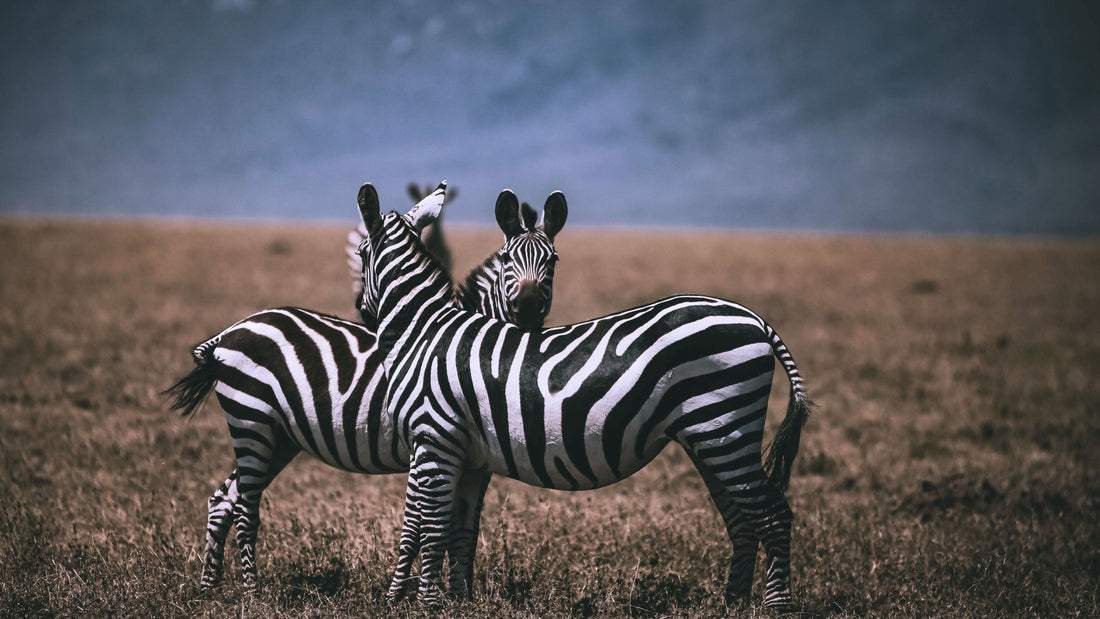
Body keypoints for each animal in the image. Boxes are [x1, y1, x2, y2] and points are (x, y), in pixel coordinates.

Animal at [165, 182, 568, 594]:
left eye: (552, 262)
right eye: (507, 260)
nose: (529, 309)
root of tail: (230, 332)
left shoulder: (473, 457)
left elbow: (462, 527)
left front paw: (459, 593)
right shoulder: (435, 445)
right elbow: (429, 524)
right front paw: (419, 590)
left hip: (279, 436)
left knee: (224, 499)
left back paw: (210, 586)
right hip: (252, 419)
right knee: (245, 506)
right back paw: (252, 592)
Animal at [354, 182, 813, 611]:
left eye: (359, 252)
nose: (360, 308)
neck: (423, 333)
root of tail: (754, 318)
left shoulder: (434, 438)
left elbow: (422, 525)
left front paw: (413, 602)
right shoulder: (464, 454)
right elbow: (451, 526)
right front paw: (451, 600)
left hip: (725, 428)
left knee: (774, 516)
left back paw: (777, 606)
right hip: (713, 436)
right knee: (743, 519)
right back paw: (733, 602)